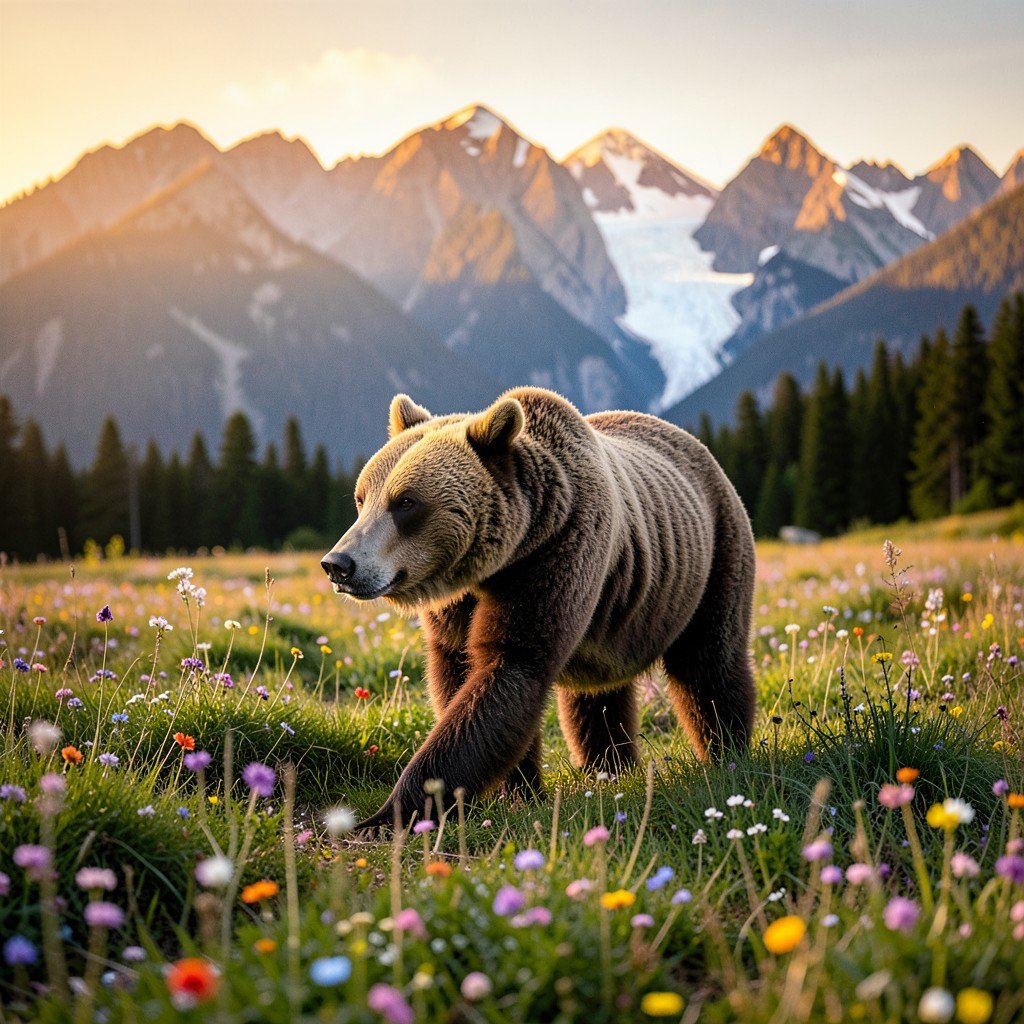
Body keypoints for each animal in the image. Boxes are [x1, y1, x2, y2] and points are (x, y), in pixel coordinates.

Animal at [321, 387, 756, 830]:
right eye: (361, 498)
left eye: (405, 502)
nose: (339, 564)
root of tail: (697, 447)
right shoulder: (459, 605)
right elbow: (459, 673)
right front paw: (518, 792)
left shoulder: (556, 553)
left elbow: (511, 666)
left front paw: (388, 815)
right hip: (612, 623)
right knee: (597, 697)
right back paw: (609, 766)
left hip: (712, 556)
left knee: (708, 663)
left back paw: (726, 754)